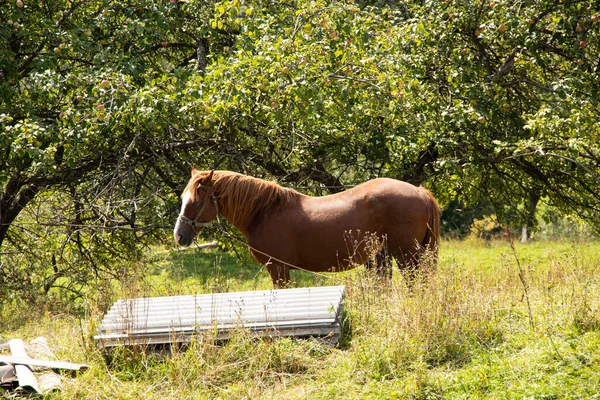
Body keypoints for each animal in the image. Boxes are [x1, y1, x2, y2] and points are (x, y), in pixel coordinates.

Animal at [173, 167, 440, 286]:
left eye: (195, 201)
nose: (179, 236)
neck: (264, 212)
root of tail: (419, 191)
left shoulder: (278, 269)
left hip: (407, 256)